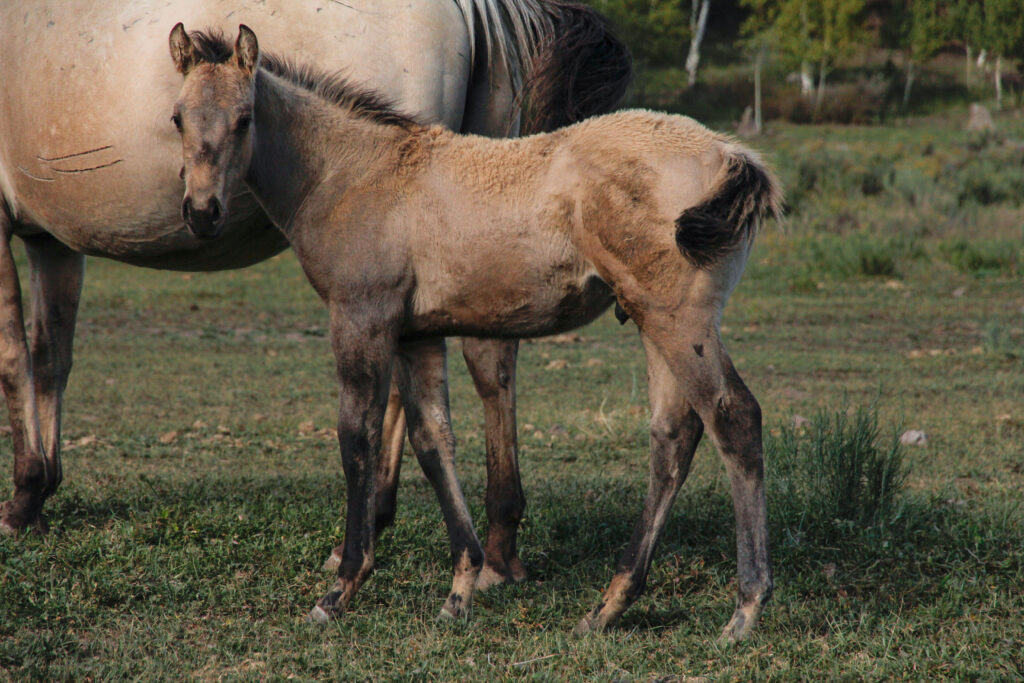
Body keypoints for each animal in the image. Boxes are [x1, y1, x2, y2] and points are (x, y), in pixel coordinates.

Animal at [172, 22, 778, 643]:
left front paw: (341, 588)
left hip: (677, 319)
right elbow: (432, 439)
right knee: (673, 436)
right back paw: (609, 606)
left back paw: (744, 609)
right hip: (653, 321)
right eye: (177, 118)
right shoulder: (413, 335)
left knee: (733, 418)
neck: (352, 174)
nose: (202, 212)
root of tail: (729, 153)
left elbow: (356, 440)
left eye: (244, 119)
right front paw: (460, 588)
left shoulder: (361, 320)